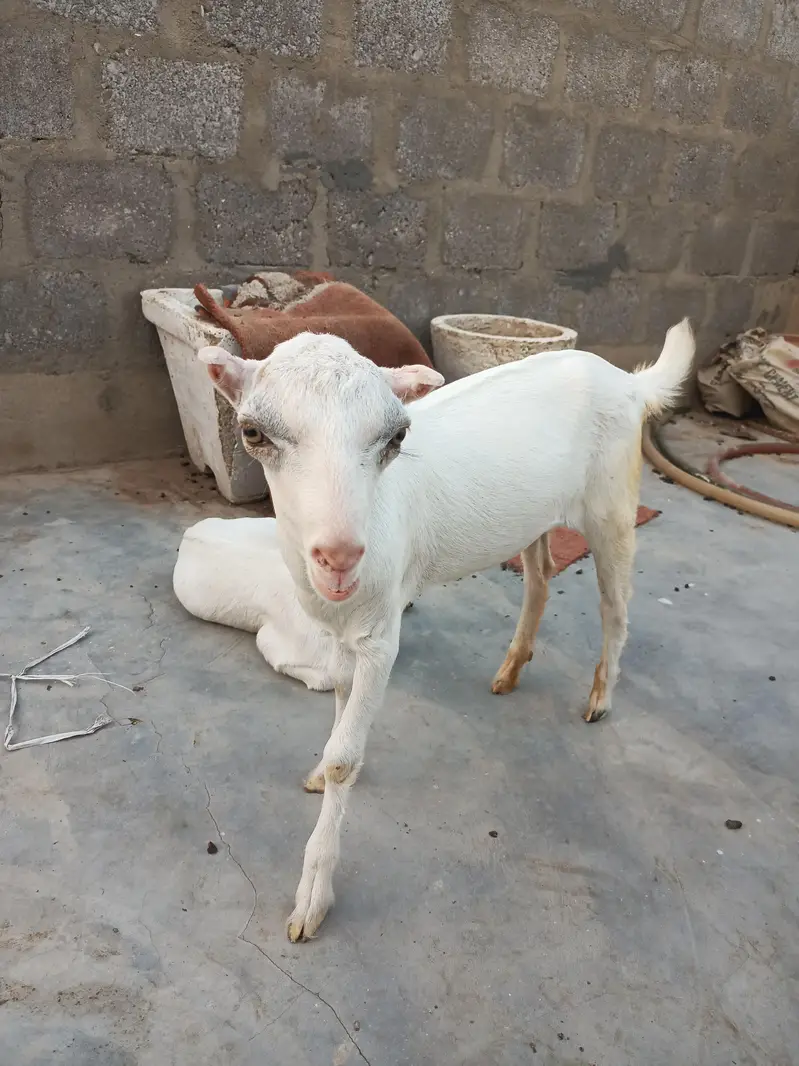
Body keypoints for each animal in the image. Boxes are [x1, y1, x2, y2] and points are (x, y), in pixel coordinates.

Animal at [198, 319, 695, 941]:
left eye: (395, 438)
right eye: (253, 432)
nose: (340, 558)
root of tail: (628, 382)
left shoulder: (381, 636)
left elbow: (345, 758)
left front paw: (312, 895)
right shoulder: (341, 630)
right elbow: (339, 714)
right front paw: (320, 771)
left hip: (612, 503)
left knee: (616, 603)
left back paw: (601, 695)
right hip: (535, 515)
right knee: (540, 579)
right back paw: (511, 668)